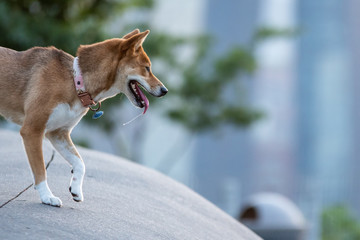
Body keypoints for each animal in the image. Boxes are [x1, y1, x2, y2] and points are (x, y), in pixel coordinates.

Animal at [0, 29, 167, 206]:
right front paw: (47, 196)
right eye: (147, 68)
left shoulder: (58, 133)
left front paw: (75, 189)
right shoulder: (32, 130)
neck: (76, 83)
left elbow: (80, 163)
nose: (165, 90)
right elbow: (40, 170)